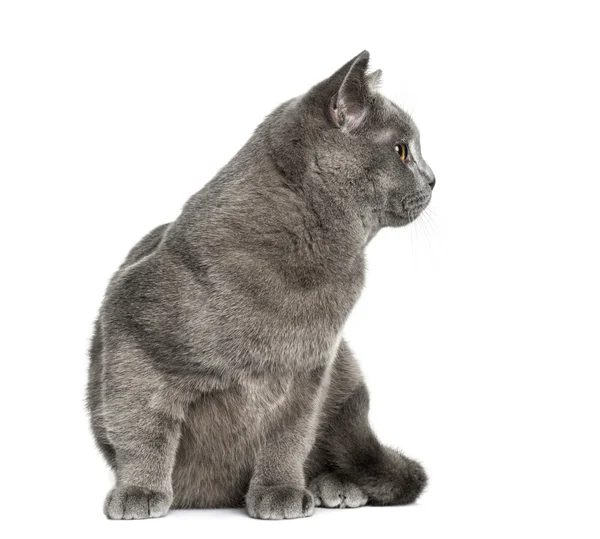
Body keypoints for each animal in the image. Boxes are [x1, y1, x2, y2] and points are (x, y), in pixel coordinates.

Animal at [86, 49, 436, 520]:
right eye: (401, 151)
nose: (434, 178)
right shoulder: (131, 334)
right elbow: (142, 428)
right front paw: (138, 492)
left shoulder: (309, 375)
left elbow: (289, 438)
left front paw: (280, 491)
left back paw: (335, 487)